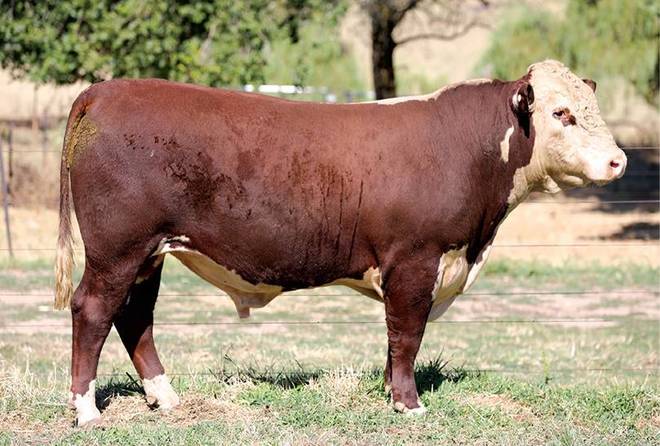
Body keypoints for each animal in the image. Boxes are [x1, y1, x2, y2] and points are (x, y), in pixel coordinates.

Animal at [54, 60, 626, 426]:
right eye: (562, 113)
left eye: (593, 106)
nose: (617, 160)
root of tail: (104, 91)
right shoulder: (415, 261)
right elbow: (407, 336)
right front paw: (408, 405)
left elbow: (396, 341)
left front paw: (394, 395)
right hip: (116, 250)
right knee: (93, 310)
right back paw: (86, 411)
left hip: (148, 254)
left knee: (135, 317)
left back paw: (166, 399)